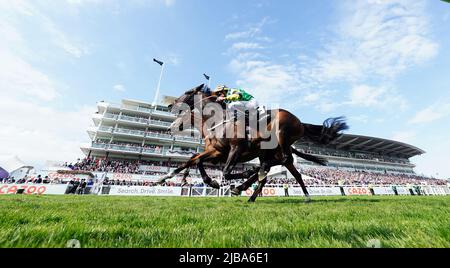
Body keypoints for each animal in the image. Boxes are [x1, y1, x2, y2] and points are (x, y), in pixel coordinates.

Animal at [162, 84, 348, 201]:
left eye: (187, 92)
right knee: (291, 171)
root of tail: (301, 122)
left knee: (282, 161)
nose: (171, 105)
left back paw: (249, 180)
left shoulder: (234, 149)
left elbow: (225, 171)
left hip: (281, 135)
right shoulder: (217, 152)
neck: (218, 120)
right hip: (270, 150)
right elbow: (197, 159)